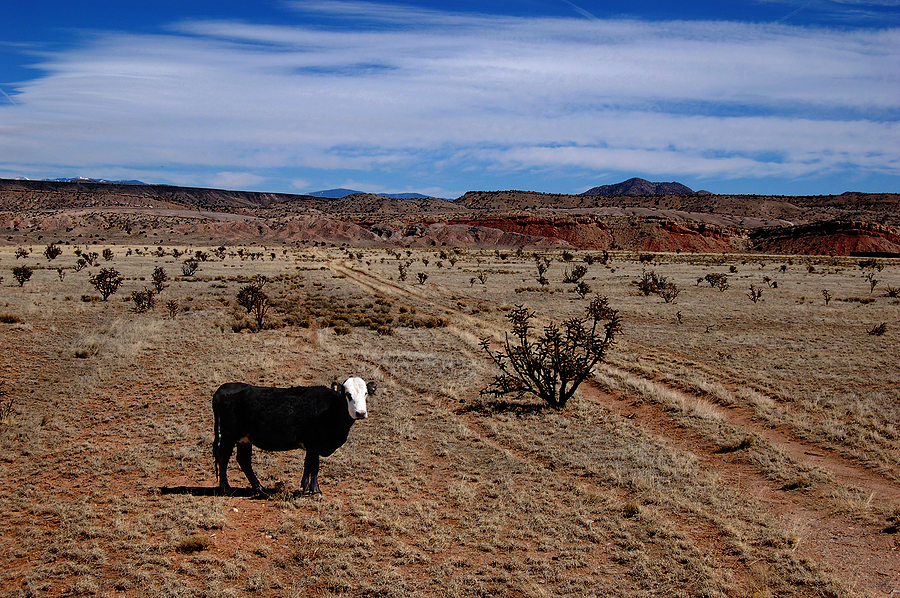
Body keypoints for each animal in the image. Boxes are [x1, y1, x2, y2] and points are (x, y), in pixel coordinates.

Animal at [212, 377, 375, 495]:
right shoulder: (314, 443)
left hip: (244, 438)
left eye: (366, 393)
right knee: (223, 456)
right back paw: (226, 488)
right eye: (348, 394)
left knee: (244, 460)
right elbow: (315, 466)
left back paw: (259, 487)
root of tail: (222, 389)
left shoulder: (311, 446)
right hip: (228, 435)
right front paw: (315, 490)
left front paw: (305, 487)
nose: (360, 413)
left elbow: (307, 464)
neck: (330, 409)